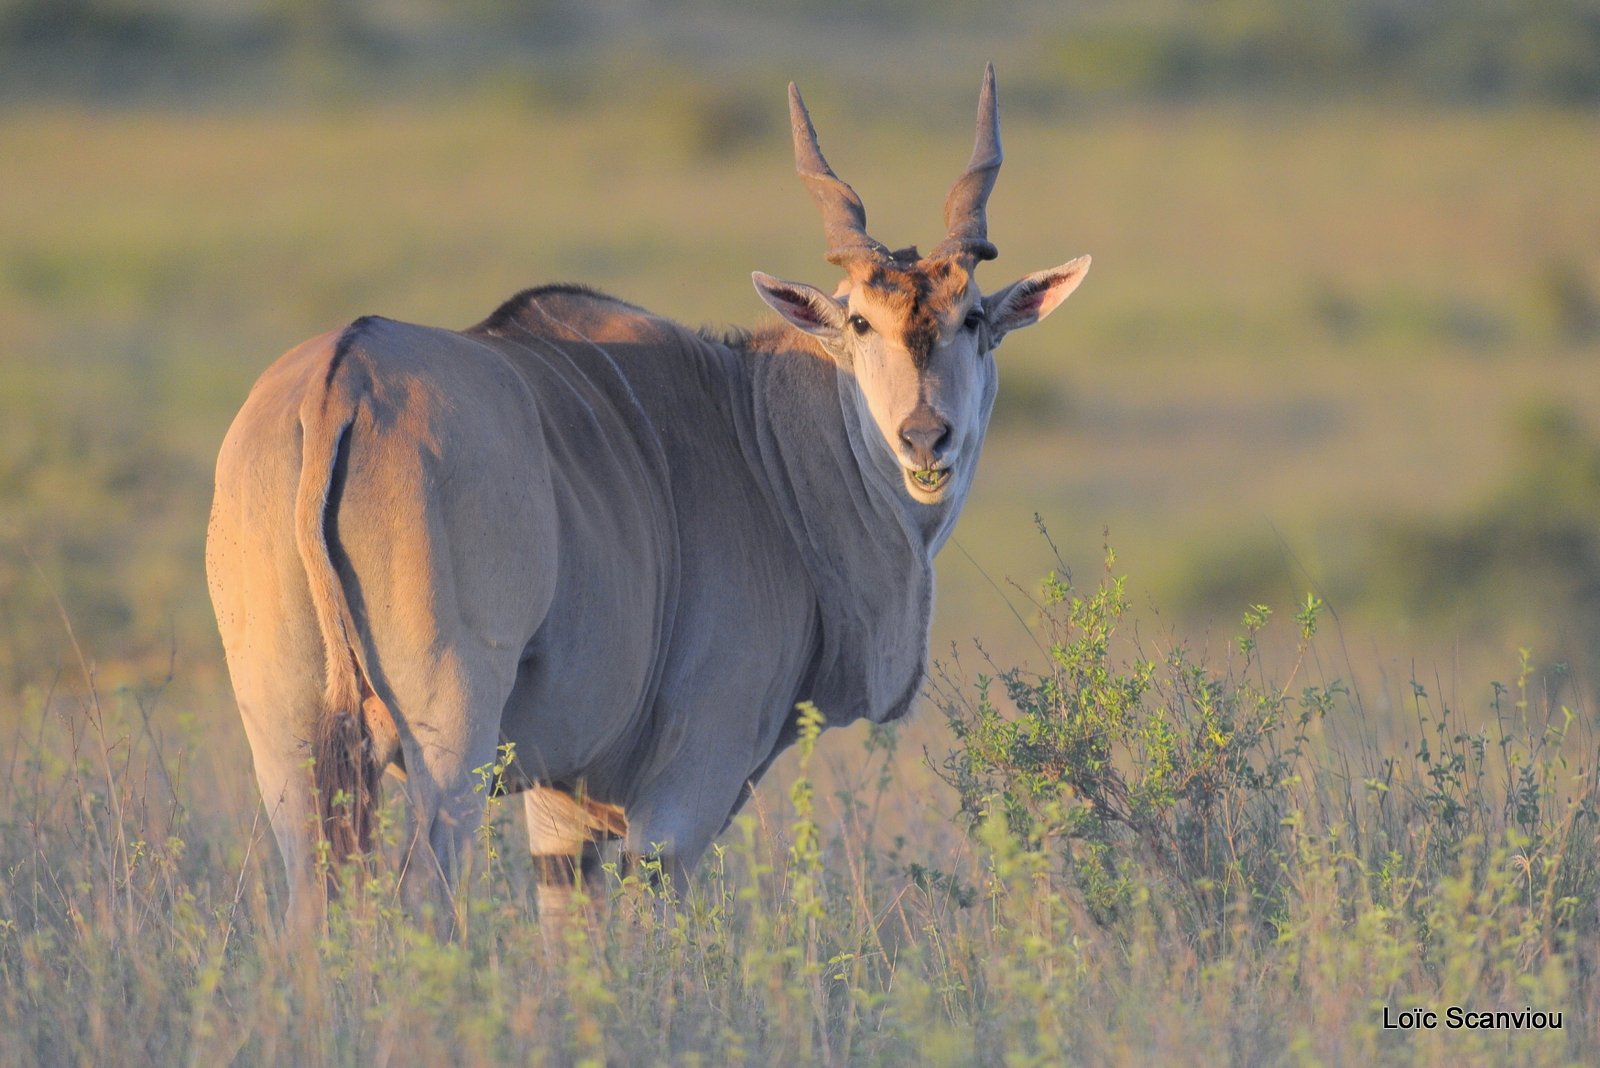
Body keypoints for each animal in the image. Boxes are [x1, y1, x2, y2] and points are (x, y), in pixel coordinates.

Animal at [209, 66, 1088, 927]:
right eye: (862, 323)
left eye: (972, 318)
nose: (924, 438)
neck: (757, 432)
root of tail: (343, 378)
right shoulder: (689, 782)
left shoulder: (561, 805)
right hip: (451, 736)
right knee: (424, 896)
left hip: (291, 743)